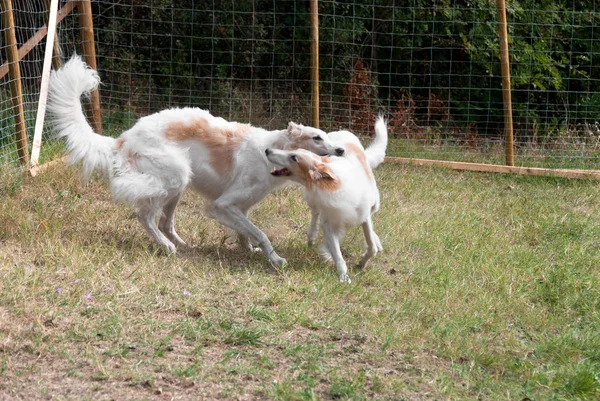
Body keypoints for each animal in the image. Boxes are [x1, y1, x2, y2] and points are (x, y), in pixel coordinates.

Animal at [48, 54, 342, 266]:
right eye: (317, 138)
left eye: (326, 136)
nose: (340, 151)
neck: (270, 151)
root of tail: (123, 138)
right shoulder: (221, 205)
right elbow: (260, 234)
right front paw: (276, 259)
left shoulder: (241, 207)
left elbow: (246, 234)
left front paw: (251, 251)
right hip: (174, 176)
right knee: (144, 216)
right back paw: (167, 247)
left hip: (178, 186)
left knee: (165, 223)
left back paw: (183, 245)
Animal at [264, 115, 386, 282]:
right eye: (294, 152)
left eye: (294, 157)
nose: (267, 150)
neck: (334, 184)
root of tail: (340, 131)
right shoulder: (328, 222)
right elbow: (338, 254)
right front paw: (343, 277)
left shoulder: (363, 215)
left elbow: (371, 247)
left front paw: (361, 263)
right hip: (313, 202)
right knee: (315, 215)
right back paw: (312, 236)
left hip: (374, 204)